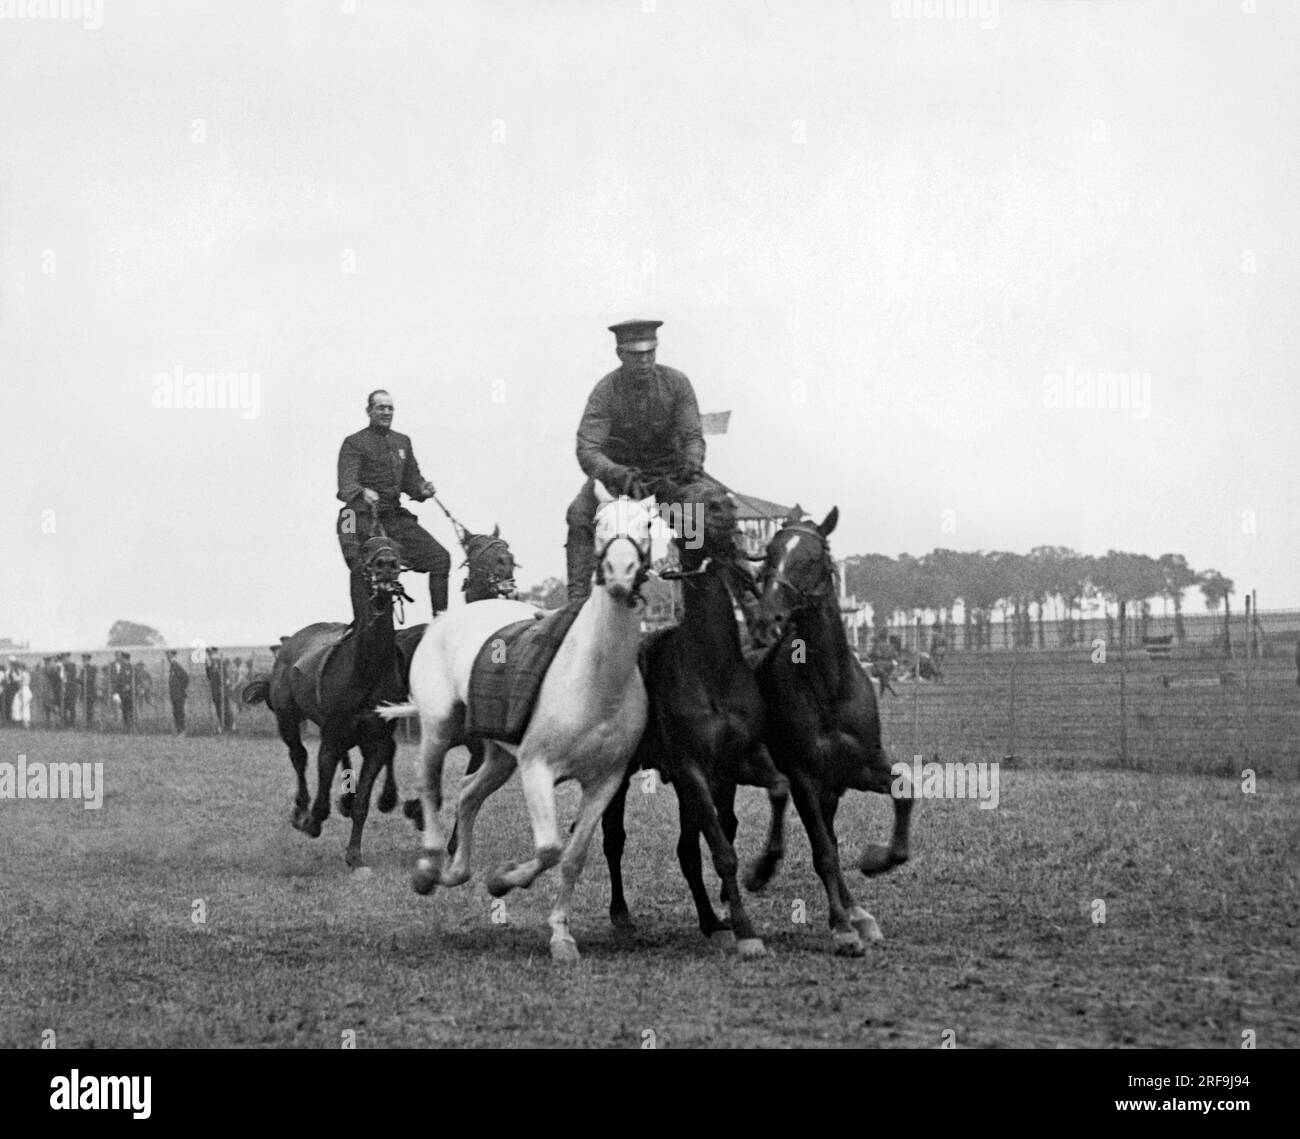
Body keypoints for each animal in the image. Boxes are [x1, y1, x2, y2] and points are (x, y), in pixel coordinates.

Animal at [376, 484, 653, 962]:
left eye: (650, 525)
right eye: (599, 524)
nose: (620, 572)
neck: (594, 677)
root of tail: (443, 622)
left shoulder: (606, 780)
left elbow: (573, 857)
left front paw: (561, 933)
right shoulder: (537, 768)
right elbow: (549, 849)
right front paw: (503, 880)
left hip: (498, 756)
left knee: (468, 793)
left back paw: (456, 871)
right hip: (438, 729)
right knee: (430, 788)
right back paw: (429, 868)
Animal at [598, 482, 789, 955]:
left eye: (717, 497)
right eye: (687, 502)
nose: (724, 513)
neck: (712, 666)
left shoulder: (737, 761)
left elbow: (776, 790)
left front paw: (761, 871)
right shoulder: (691, 770)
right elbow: (722, 851)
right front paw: (746, 930)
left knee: (686, 850)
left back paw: (709, 920)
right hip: (621, 773)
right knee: (614, 838)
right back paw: (622, 915)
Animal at [749, 508, 913, 956]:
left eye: (812, 558)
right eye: (769, 553)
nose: (766, 619)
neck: (829, 685)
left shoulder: (858, 769)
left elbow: (903, 792)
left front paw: (876, 861)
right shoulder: (806, 777)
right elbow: (823, 851)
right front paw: (842, 929)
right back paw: (761, 871)